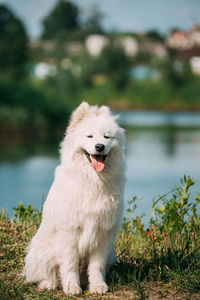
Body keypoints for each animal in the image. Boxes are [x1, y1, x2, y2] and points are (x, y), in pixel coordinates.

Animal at [24, 101, 125, 296]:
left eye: (107, 137)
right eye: (89, 136)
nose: (99, 146)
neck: (93, 180)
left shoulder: (103, 234)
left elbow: (97, 266)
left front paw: (98, 286)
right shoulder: (69, 231)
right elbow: (69, 264)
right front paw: (72, 287)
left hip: (111, 251)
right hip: (43, 251)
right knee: (47, 273)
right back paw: (48, 284)